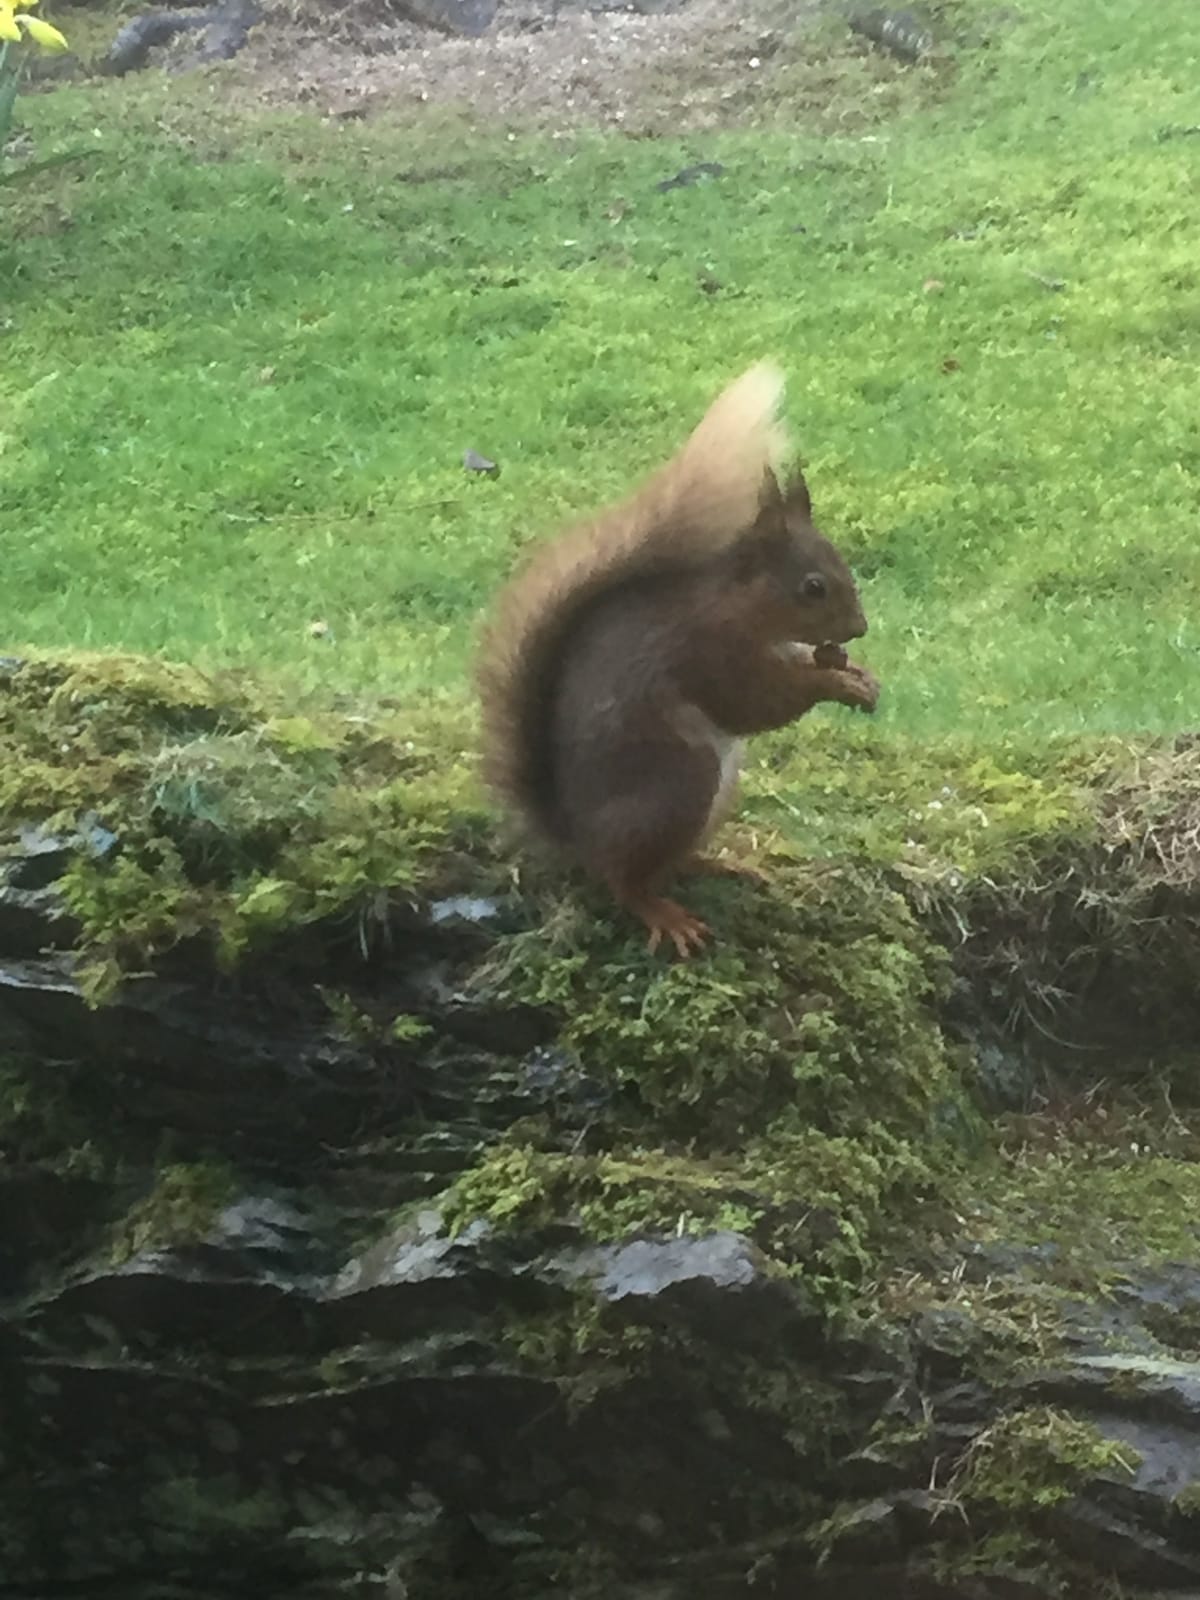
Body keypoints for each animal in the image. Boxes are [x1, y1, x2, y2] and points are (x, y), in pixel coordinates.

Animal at [473, 366, 876, 947]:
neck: (743, 607)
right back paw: (664, 915)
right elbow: (756, 701)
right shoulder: (711, 647)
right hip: (678, 782)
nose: (859, 628)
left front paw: (857, 674)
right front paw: (835, 684)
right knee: (626, 881)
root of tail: (577, 836)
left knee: (669, 863)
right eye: (813, 587)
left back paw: (724, 863)